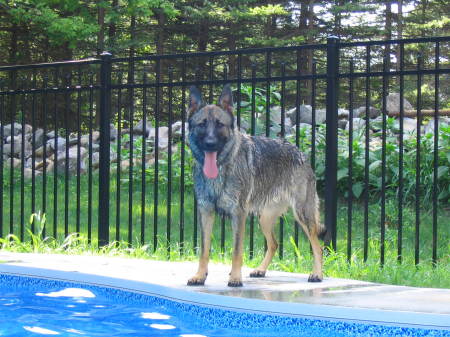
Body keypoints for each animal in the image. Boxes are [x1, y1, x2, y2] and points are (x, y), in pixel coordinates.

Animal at [185, 84, 324, 286]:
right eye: (202, 124)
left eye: (220, 124)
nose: (210, 144)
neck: (221, 168)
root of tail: (300, 153)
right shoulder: (206, 212)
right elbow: (204, 250)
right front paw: (200, 276)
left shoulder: (238, 214)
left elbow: (237, 251)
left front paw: (235, 278)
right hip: (264, 219)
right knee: (274, 244)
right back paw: (260, 270)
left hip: (302, 215)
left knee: (317, 246)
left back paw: (317, 274)